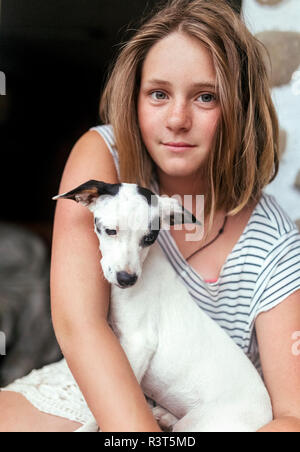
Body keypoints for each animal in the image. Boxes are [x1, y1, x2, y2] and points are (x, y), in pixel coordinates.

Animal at [53, 179, 272, 430]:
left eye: (148, 239)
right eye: (110, 231)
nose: (127, 279)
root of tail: (266, 419)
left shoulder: (139, 343)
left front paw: (88, 426)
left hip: (199, 423)